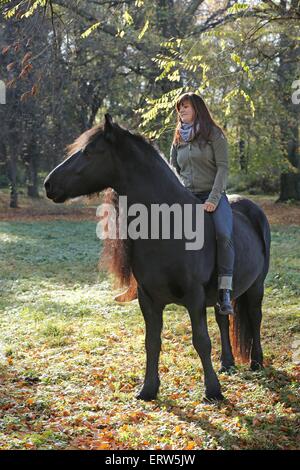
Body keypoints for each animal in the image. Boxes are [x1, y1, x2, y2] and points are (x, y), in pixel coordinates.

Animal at [45, 113, 272, 400]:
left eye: (88, 151)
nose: (48, 184)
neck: (169, 226)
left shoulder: (194, 297)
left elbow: (201, 340)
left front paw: (212, 390)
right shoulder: (148, 298)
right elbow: (151, 341)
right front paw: (148, 388)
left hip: (256, 287)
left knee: (255, 317)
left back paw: (256, 362)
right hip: (222, 295)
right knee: (224, 318)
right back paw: (227, 363)